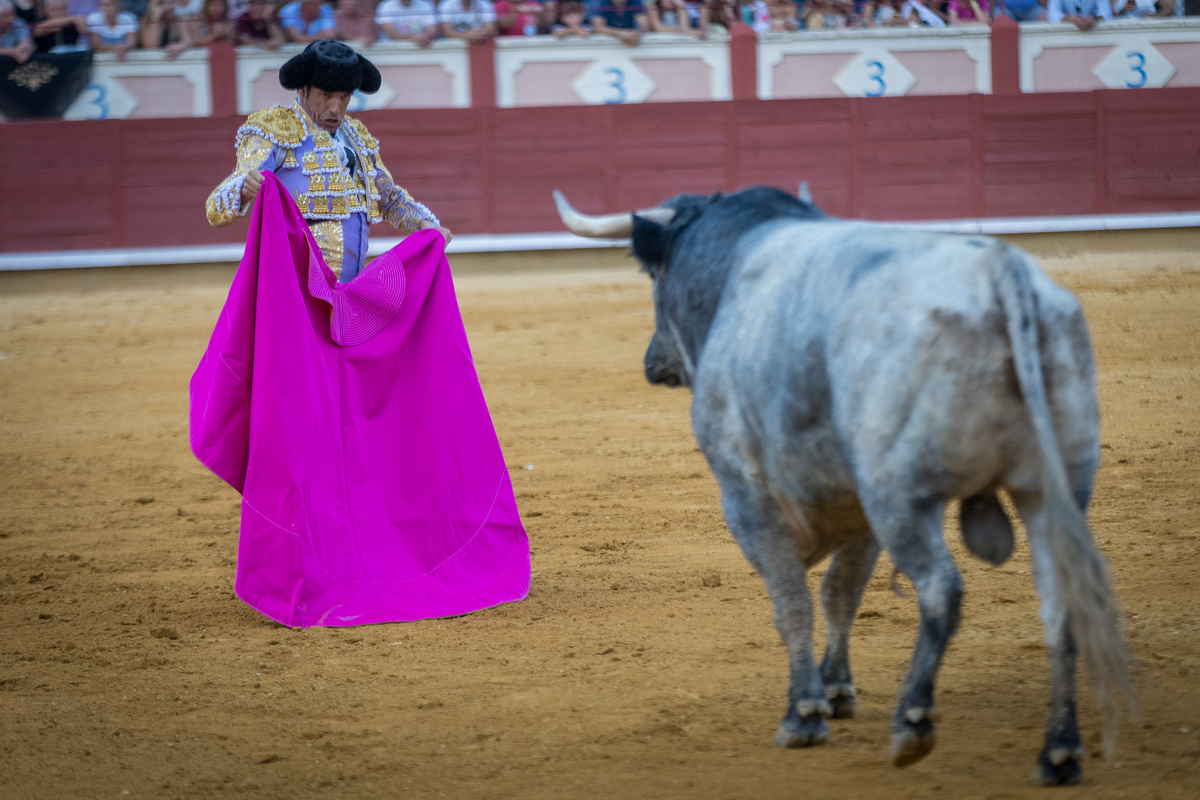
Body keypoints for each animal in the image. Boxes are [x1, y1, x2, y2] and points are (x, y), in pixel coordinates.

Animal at [552, 184, 1132, 786]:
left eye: (653, 277)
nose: (651, 360)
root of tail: (1001, 274)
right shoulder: (858, 516)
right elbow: (840, 594)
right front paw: (835, 690)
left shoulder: (748, 498)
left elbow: (793, 603)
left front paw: (804, 713)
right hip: (1051, 493)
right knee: (1061, 602)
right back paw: (1059, 751)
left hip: (898, 495)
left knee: (939, 588)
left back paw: (913, 721)